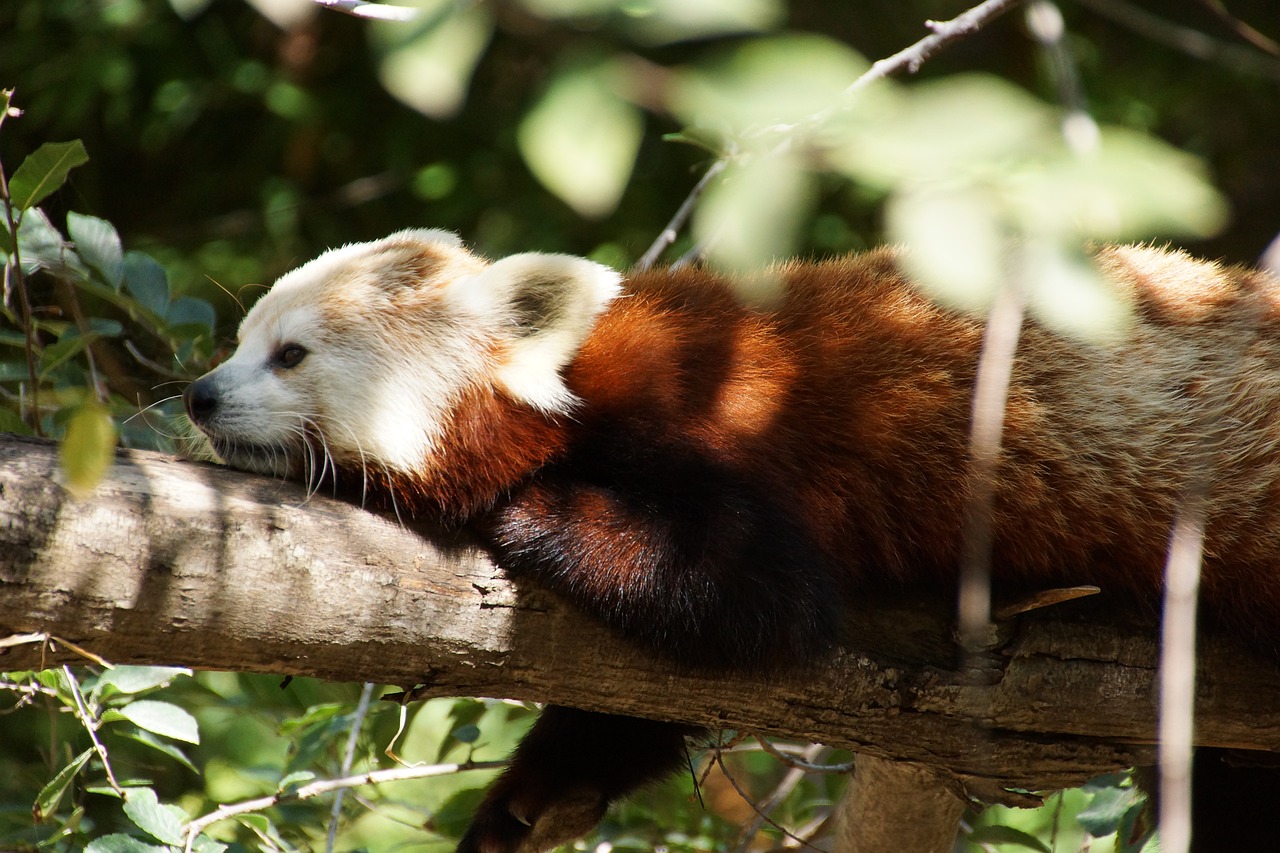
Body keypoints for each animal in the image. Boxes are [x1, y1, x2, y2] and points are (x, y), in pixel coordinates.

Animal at [180, 229, 1280, 850]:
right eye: (241, 341)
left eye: (290, 354)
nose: (198, 395)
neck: (573, 388)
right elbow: (633, 704)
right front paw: (536, 801)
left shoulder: (724, 436)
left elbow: (752, 605)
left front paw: (524, 509)